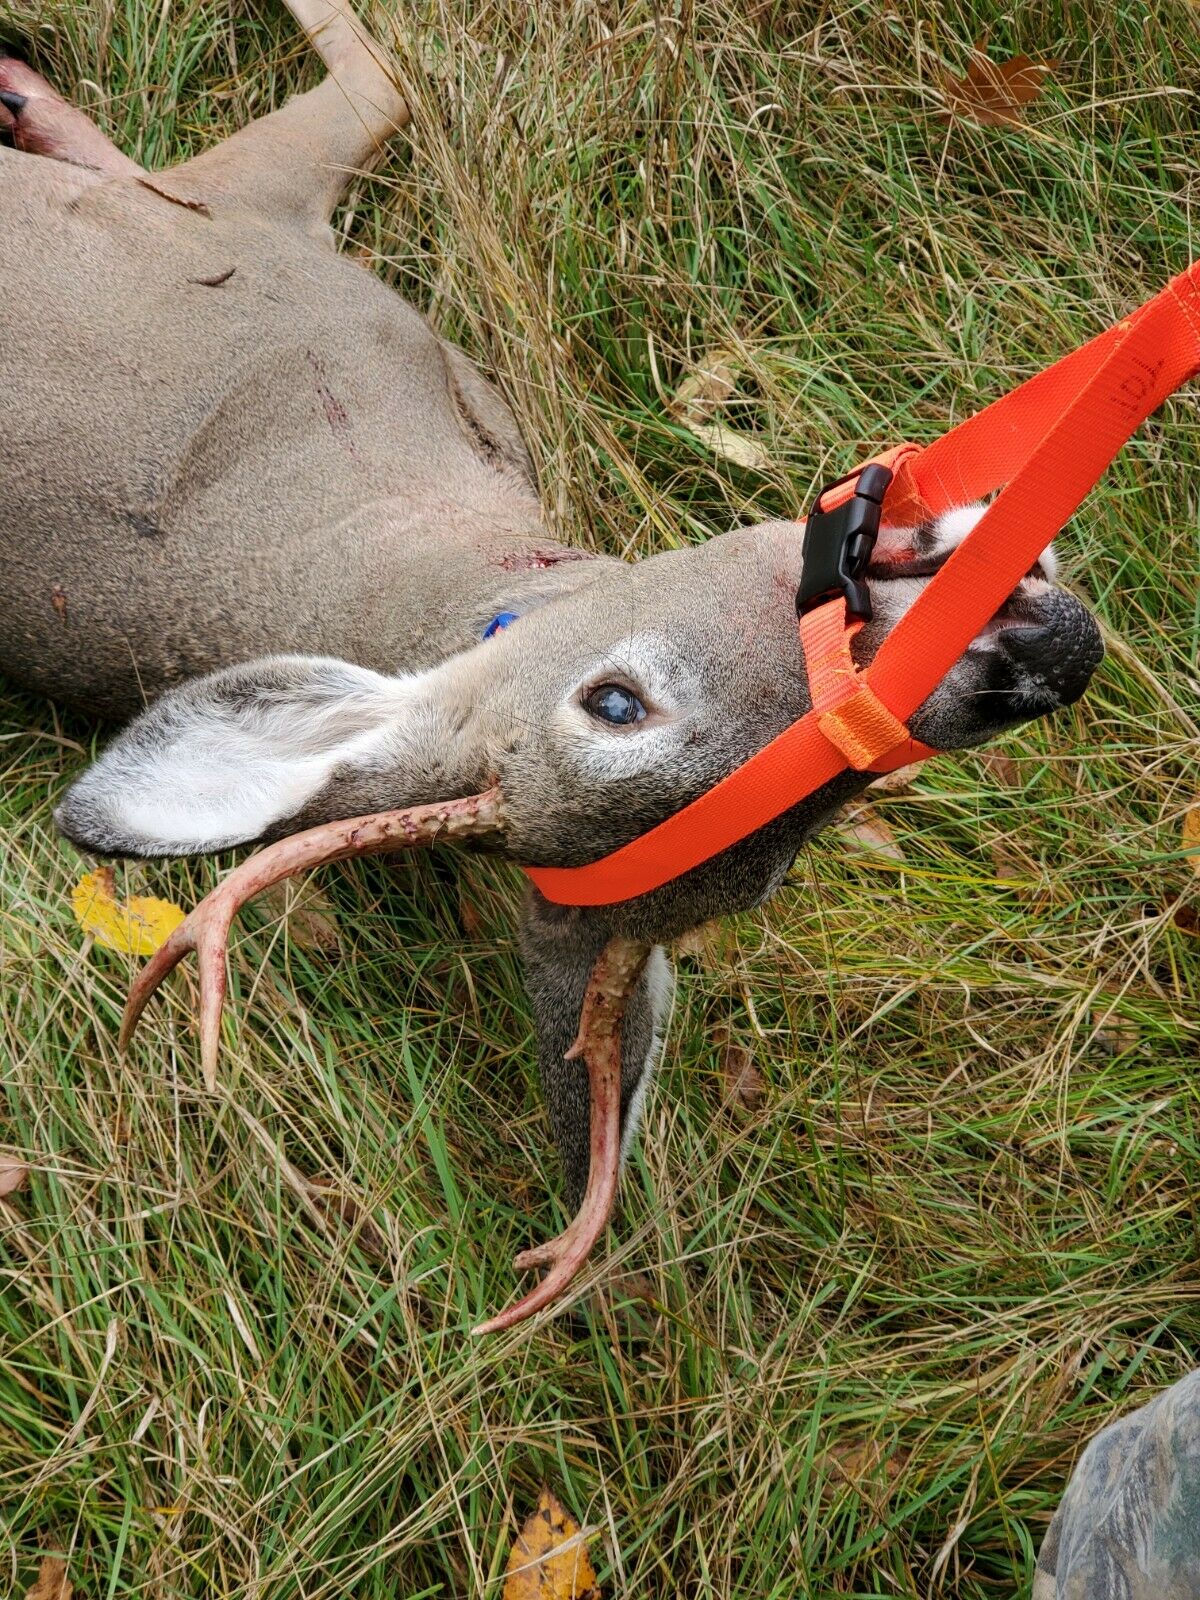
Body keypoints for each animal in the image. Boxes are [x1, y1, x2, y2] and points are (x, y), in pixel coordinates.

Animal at [0, 0, 1103, 1332]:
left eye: (785, 864)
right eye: (615, 703)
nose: (1039, 660)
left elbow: (385, 83)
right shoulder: (231, 229)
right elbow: (385, 74)